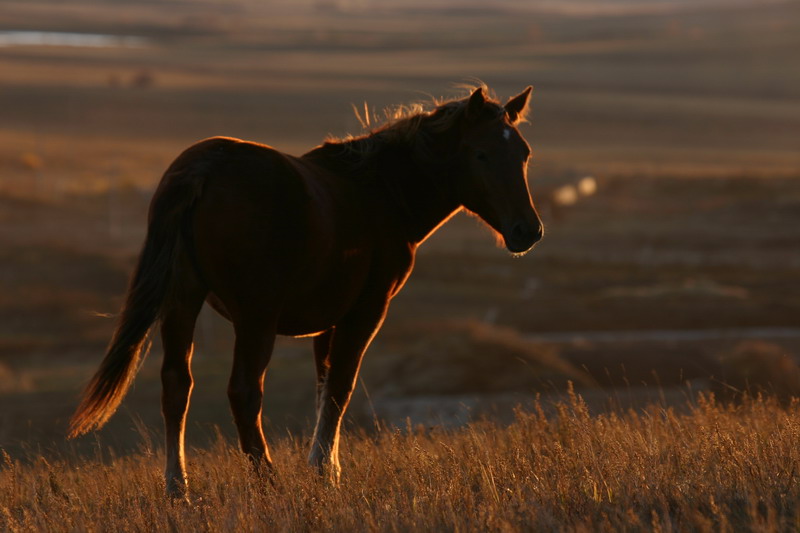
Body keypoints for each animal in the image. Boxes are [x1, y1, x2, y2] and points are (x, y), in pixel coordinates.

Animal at [67, 84, 544, 498]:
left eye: (523, 153)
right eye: (481, 153)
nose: (528, 231)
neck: (381, 193)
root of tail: (202, 169)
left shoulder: (327, 322)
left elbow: (323, 387)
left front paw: (325, 468)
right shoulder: (365, 312)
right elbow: (340, 387)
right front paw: (323, 473)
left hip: (182, 301)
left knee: (176, 386)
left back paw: (178, 487)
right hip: (255, 316)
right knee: (243, 391)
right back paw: (268, 480)